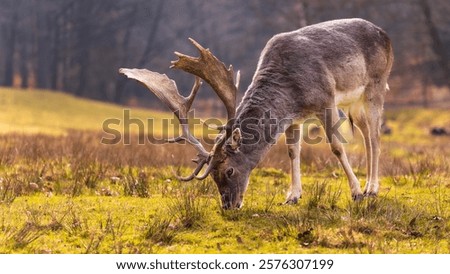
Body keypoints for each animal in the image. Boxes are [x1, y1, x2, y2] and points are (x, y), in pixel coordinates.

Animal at [120, 18, 394, 209]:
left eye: (229, 171)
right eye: (212, 177)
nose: (228, 205)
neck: (291, 91)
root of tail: (386, 36)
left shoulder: (325, 99)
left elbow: (336, 146)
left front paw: (355, 193)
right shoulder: (294, 118)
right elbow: (293, 152)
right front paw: (292, 196)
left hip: (377, 84)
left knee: (376, 136)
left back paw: (371, 189)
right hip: (353, 103)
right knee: (367, 134)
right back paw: (370, 185)